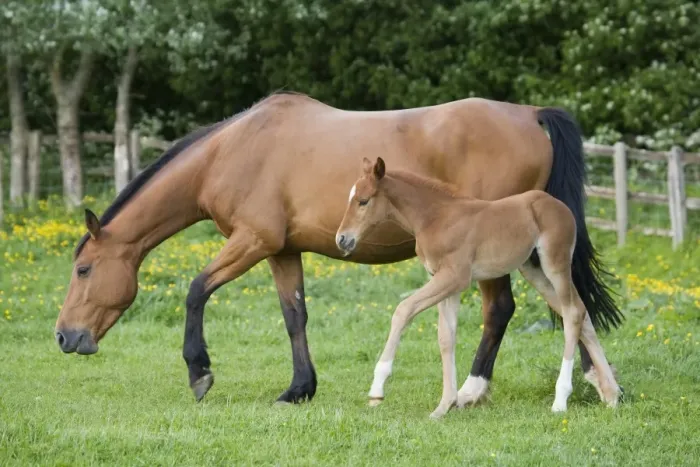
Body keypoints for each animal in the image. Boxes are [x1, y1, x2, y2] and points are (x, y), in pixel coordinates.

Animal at [336, 157, 621, 418]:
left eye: (363, 201)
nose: (342, 239)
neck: (436, 217)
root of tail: (561, 207)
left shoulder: (454, 277)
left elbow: (403, 310)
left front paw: (377, 389)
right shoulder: (445, 283)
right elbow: (446, 337)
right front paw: (444, 406)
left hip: (555, 265)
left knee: (572, 313)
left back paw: (561, 400)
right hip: (534, 271)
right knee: (581, 313)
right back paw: (611, 394)